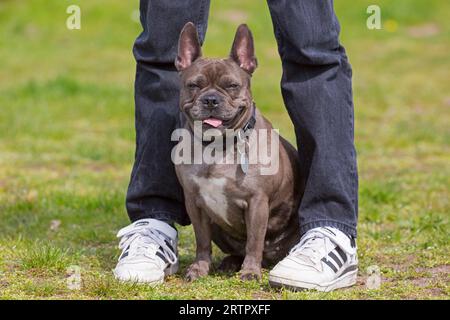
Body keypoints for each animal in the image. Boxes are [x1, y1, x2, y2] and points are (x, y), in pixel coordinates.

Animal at [174, 22, 304, 280]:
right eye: (194, 85)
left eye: (232, 86)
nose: (211, 99)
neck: (217, 147)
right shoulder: (195, 203)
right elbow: (202, 242)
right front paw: (200, 268)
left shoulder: (257, 203)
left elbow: (254, 241)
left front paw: (250, 272)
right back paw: (230, 262)